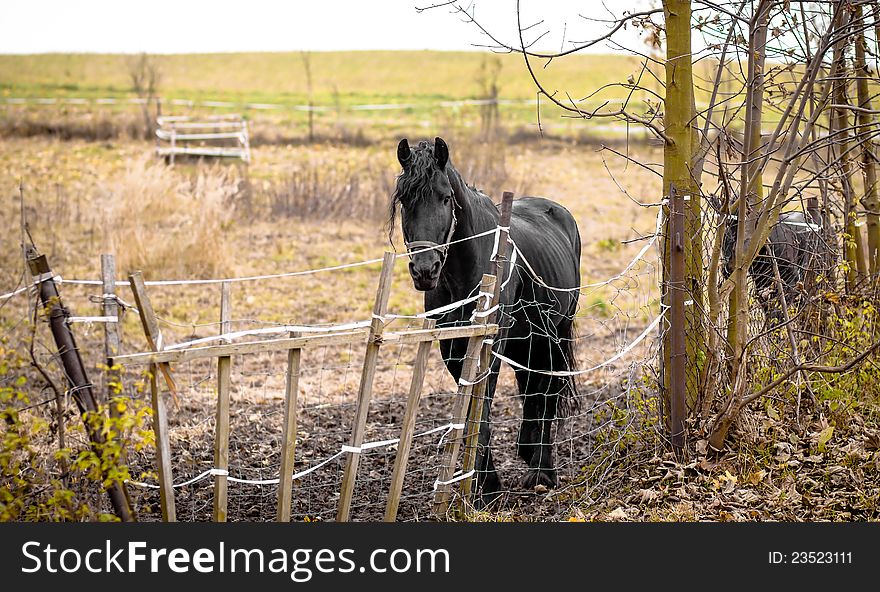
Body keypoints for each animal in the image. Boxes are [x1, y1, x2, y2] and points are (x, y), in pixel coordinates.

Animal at [392, 136, 584, 502]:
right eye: (404, 200)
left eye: (445, 197)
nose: (424, 270)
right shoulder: (453, 350)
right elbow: (471, 411)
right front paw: (482, 482)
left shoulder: (488, 347)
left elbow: (482, 409)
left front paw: (488, 487)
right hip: (527, 338)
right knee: (531, 385)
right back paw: (528, 451)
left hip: (555, 332)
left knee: (549, 388)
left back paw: (543, 470)